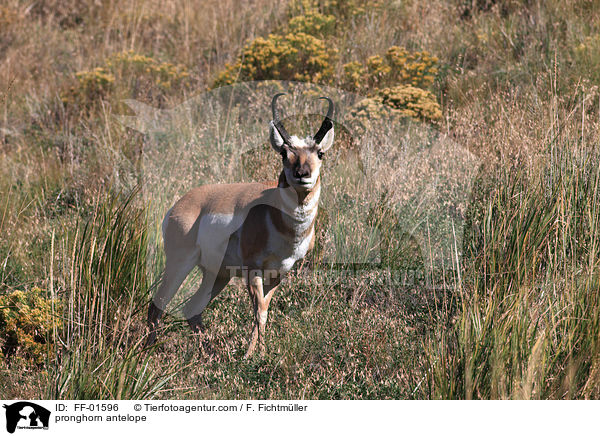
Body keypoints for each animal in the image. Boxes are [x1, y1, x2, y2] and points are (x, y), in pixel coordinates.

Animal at [145, 93, 332, 356]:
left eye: (320, 153)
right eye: (284, 153)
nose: (302, 174)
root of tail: (181, 204)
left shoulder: (280, 272)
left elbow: (264, 310)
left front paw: (256, 353)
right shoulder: (253, 270)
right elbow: (259, 311)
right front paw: (255, 355)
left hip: (217, 274)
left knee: (192, 309)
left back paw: (210, 353)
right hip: (180, 263)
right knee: (158, 304)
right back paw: (146, 351)